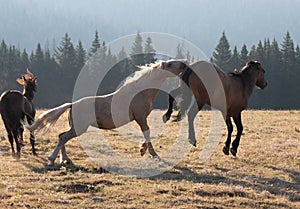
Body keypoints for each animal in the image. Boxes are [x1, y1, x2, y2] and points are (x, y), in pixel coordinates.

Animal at [27, 60, 188, 165]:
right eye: (171, 64)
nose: (185, 65)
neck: (140, 92)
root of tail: (72, 104)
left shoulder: (141, 119)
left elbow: (147, 134)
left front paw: (143, 150)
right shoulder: (141, 118)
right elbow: (147, 133)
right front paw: (152, 154)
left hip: (75, 127)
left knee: (62, 136)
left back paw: (65, 160)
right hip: (79, 128)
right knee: (63, 138)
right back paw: (52, 158)